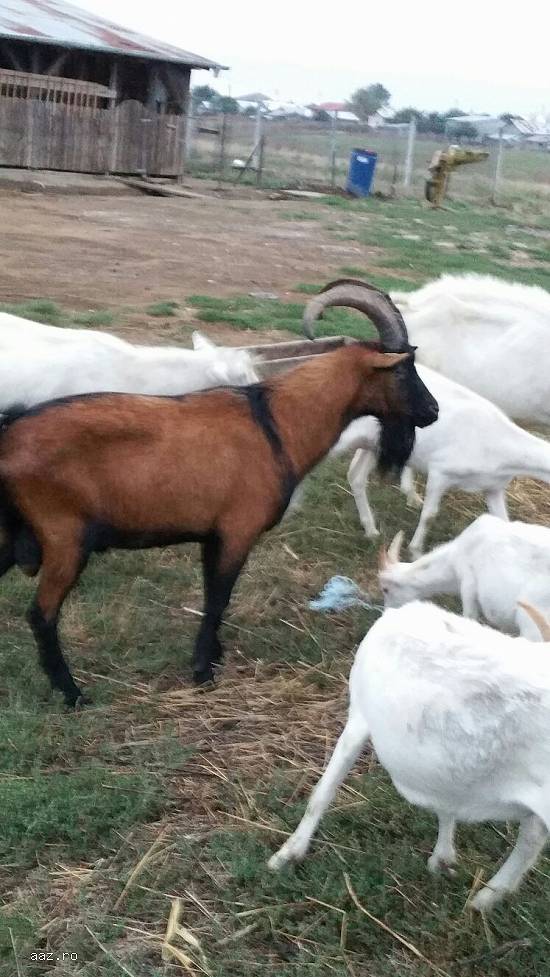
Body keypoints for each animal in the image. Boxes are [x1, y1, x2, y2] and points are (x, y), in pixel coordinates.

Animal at [269, 600, 550, 910]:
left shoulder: (358, 719)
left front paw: (287, 854)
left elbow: (322, 792)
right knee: (532, 836)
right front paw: (442, 858)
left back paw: (483, 900)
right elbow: (446, 803)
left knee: (530, 839)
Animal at [330, 362, 550, 556]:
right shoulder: (440, 471)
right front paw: (415, 551)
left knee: (356, 475)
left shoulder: (493, 488)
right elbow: (430, 515)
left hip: (375, 443)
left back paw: (371, 531)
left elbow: (503, 521)